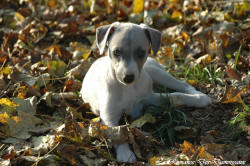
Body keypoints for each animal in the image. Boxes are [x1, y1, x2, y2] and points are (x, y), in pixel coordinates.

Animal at [80, 21, 211, 162]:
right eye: (116, 52)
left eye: (141, 52)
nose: (128, 78)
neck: (129, 88)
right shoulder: (108, 115)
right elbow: (116, 132)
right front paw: (125, 153)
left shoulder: (148, 98)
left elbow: (176, 96)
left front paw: (199, 100)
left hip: (157, 73)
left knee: (182, 84)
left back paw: (198, 94)